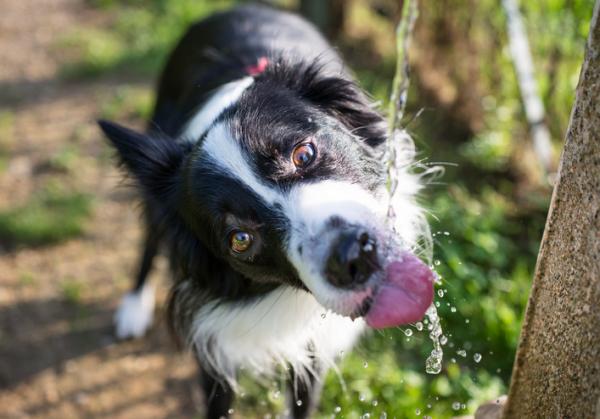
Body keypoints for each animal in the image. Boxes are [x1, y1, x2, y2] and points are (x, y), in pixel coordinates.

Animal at [101, 4, 434, 419]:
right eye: (240, 239)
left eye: (303, 153)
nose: (353, 257)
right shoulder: (214, 347)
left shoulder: (313, 349)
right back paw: (133, 306)